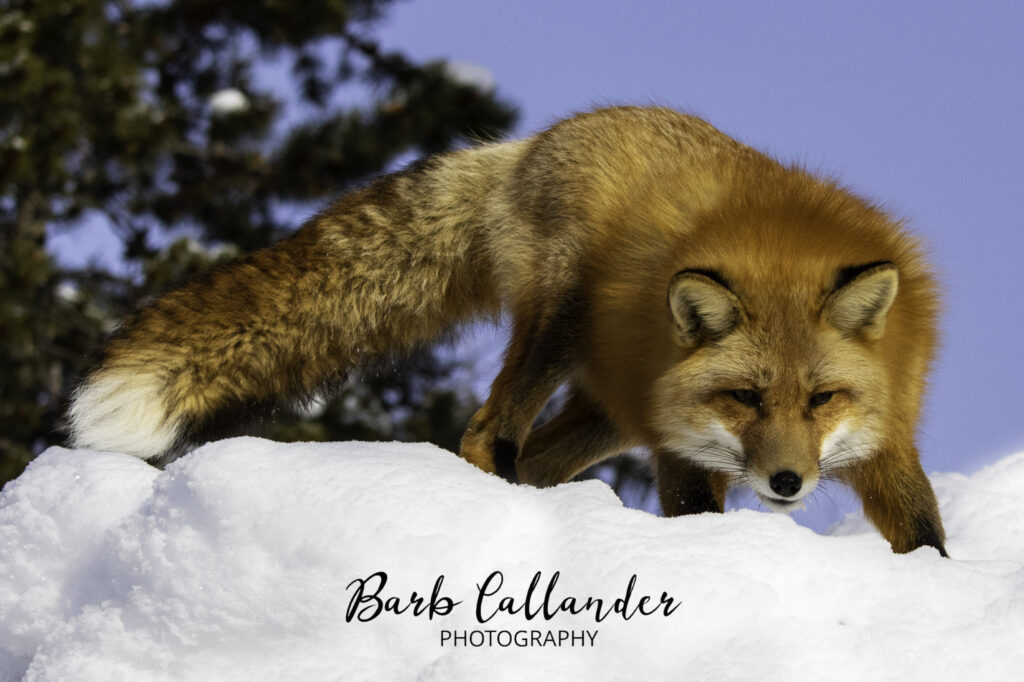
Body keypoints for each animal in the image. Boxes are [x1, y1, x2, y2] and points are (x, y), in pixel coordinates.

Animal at [68, 106, 947, 556]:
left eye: (823, 400)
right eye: (744, 398)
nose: (788, 484)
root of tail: (536, 141)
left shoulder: (888, 431)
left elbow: (922, 528)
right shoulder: (680, 444)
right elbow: (696, 512)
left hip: (605, 412)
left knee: (532, 461)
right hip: (558, 327)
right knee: (486, 431)